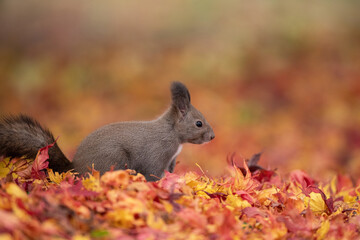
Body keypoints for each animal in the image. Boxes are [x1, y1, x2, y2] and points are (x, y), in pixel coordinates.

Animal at [0, 81, 214, 181]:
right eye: (198, 123)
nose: (212, 136)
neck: (172, 134)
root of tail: (74, 169)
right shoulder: (157, 154)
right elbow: (153, 173)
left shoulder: (171, 160)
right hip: (113, 159)